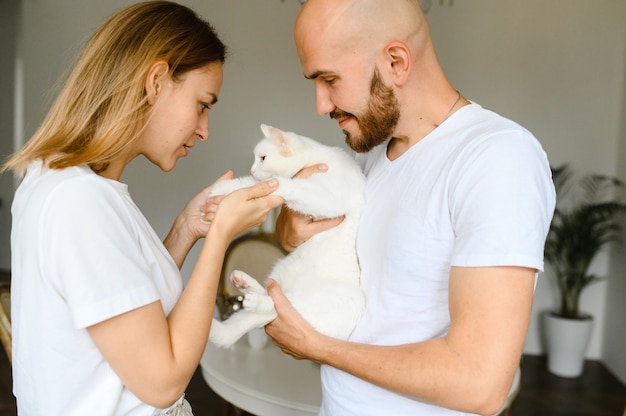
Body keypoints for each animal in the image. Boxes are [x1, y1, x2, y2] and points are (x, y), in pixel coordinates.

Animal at [208, 123, 366, 348]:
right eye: (255, 158)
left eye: (262, 158)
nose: (252, 169)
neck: (315, 157)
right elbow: (250, 185)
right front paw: (223, 189)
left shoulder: (326, 197)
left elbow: (282, 184)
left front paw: (276, 184)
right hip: (280, 271)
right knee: (275, 294)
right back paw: (245, 284)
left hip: (337, 300)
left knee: (281, 306)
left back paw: (254, 301)